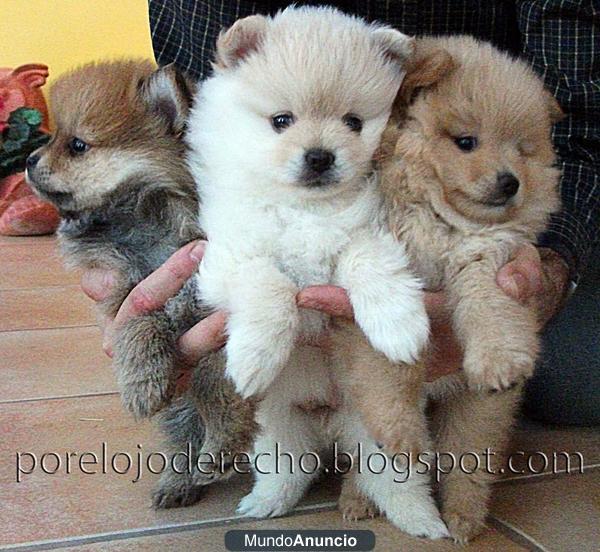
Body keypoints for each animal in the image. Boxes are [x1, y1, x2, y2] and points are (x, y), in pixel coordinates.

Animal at [26, 61, 255, 508]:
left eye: (76, 145)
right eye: (52, 137)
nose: (27, 159)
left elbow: (213, 380)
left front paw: (224, 439)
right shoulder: (126, 294)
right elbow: (140, 324)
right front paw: (142, 380)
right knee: (182, 431)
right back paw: (178, 482)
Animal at [190, 5, 448, 540]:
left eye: (353, 122)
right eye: (280, 121)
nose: (320, 156)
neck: (305, 209)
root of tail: (329, 420)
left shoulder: (374, 230)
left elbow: (367, 260)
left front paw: (399, 327)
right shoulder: (227, 260)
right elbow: (270, 283)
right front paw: (255, 356)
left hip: (380, 425)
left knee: (398, 478)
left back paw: (423, 519)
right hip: (279, 426)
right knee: (288, 468)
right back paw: (266, 503)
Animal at [342, 36, 564, 540]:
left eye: (522, 150)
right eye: (466, 142)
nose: (510, 182)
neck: (441, 223)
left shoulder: (489, 261)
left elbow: (491, 310)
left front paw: (500, 360)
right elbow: (388, 368)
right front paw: (402, 433)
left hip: (474, 408)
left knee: (469, 459)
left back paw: (463, 517)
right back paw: (356, 498)